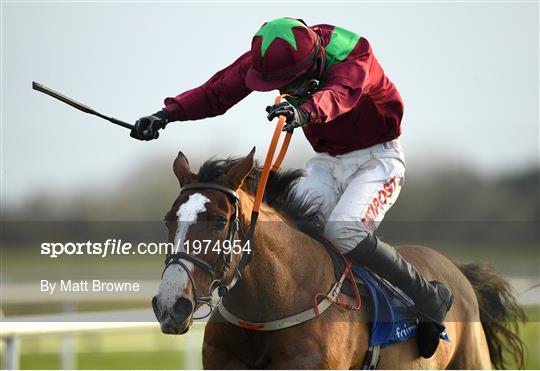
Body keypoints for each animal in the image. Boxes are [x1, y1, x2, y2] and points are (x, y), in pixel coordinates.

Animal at [154, 150, 524, 370]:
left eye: (219, 221)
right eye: (168, 219)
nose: (171, 306)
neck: (270, 309)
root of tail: (456, 271)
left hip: (472, 359)